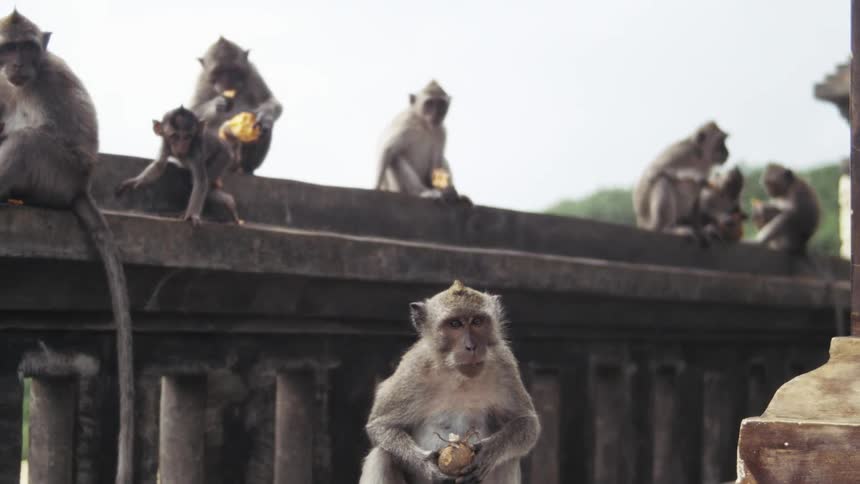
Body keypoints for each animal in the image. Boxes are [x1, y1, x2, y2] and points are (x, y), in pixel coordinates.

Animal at [0, 10, 134, 484]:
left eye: (28, 46)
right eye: (8, 47)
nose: (18, 64)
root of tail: (81, 188)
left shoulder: (51, 79)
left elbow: (50, 131)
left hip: (58, 176)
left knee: (28, 144)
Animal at [190, 37, 282, 175]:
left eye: (233, 70)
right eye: (219, 72)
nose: (227, 81)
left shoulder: (253, 72)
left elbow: (269, 100)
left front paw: (264, 115)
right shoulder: (202, 79)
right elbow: (193, 111)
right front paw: (218, 103)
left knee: (265, 128)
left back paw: (247, 167)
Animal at [359, 281, 540, 484]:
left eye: (477, 322)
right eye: (455, 324)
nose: (471, 347)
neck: (457, 375)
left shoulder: (504, 364)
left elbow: (526, 422)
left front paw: (488, 452)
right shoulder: (413, 368)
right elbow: (380, 425)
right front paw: (427, 465)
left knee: (507, 460)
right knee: (382, 455)